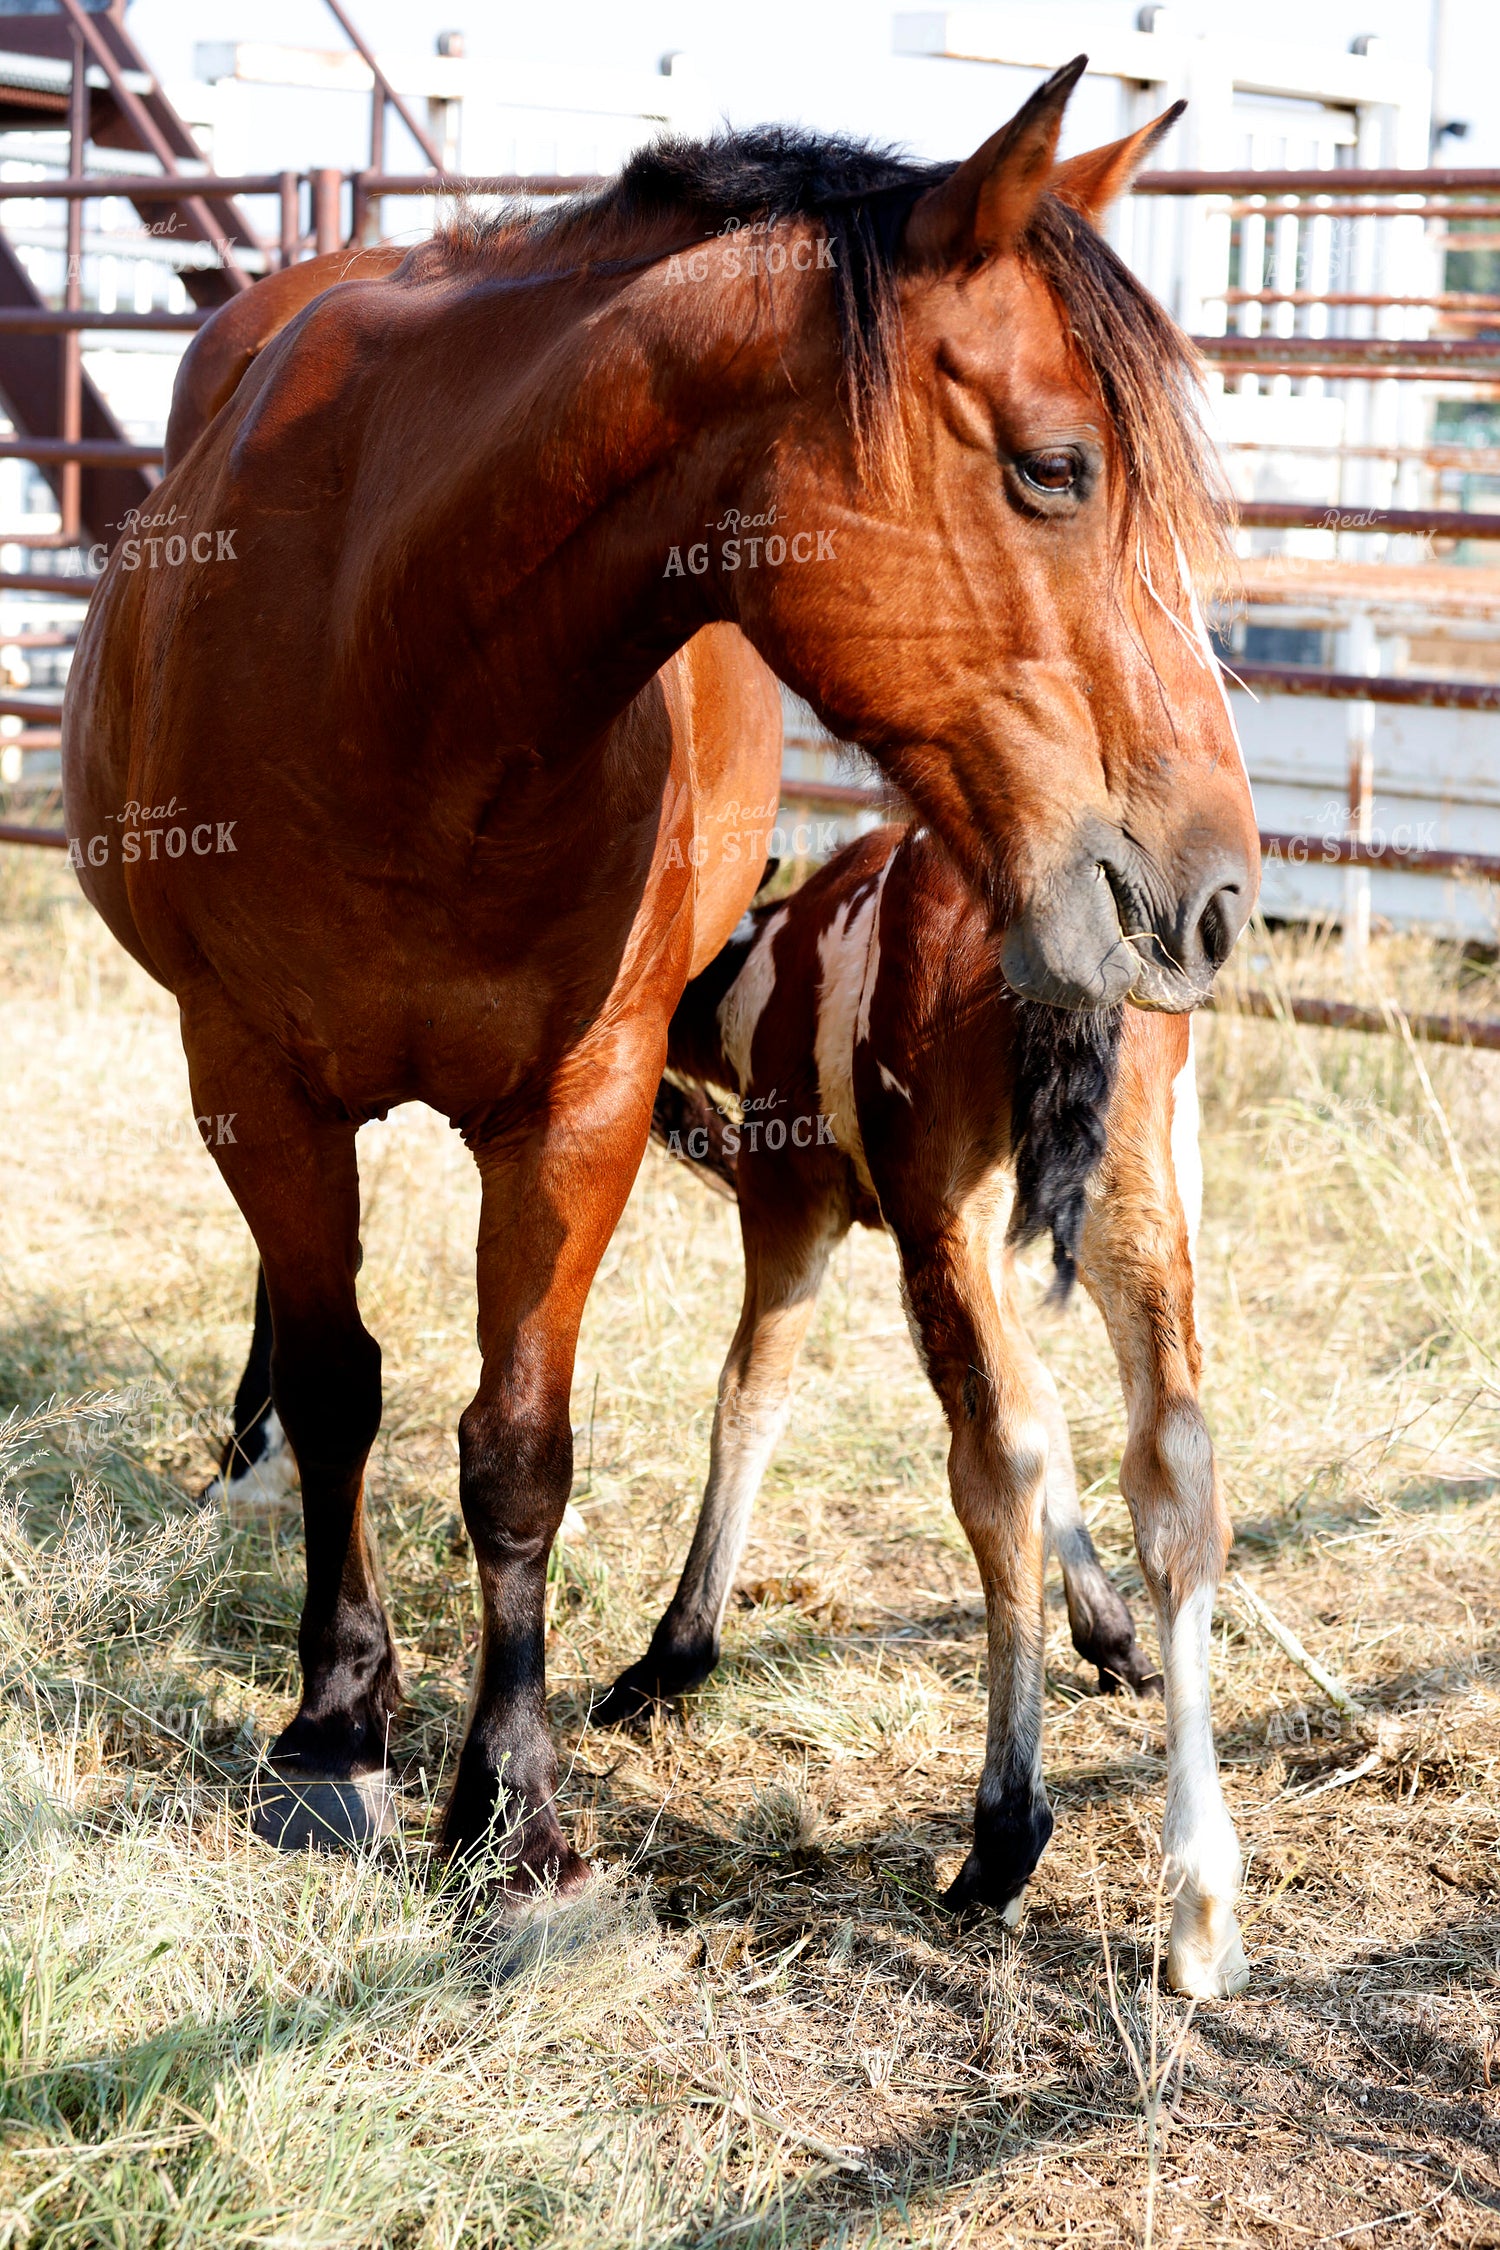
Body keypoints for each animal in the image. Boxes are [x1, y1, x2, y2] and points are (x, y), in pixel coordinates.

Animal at [592, 819, 1243, 1998]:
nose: (667, 1118)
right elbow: (1055, 1416)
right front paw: (1111, 1635)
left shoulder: (794, 1198)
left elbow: (749, 1397)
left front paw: (673, 1656)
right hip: (1140, 1199)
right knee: (1169, 1461)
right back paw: (1199, 1902)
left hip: (950, 1204)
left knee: (994, 1456)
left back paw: (1004, 1837)